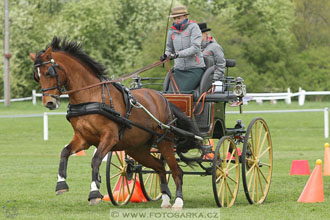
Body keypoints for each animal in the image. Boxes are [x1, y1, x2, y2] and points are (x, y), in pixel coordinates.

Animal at [29, 37, 202, 209]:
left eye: (49, 72)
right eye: (36, 76)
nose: (49, 103)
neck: (91, 96)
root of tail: (163, 98)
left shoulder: (109, 137)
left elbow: (95, 160)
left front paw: (94, 193)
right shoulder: (83, 139)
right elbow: (64, 152)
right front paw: (61, 184)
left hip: (164, 141)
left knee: (176, 170)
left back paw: (178, 201)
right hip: (137, 149)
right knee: (160, 166)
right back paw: (165, 199)